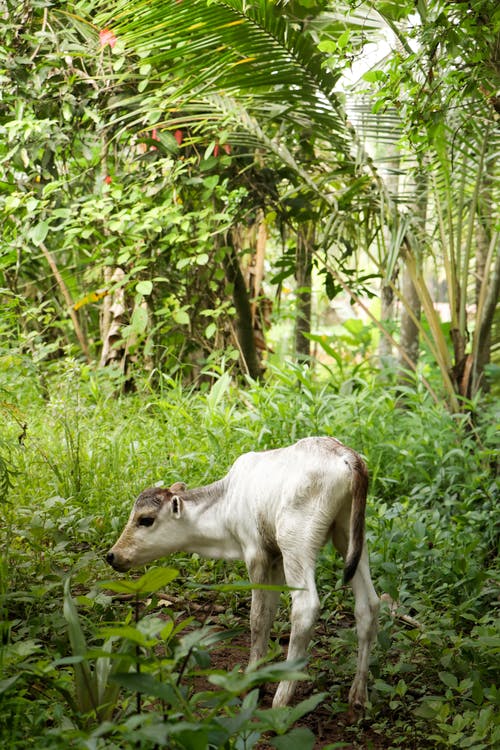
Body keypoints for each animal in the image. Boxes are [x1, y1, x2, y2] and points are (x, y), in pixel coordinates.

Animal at [106, 438, 378, 708]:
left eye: (146, 519)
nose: (112, 555)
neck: (226, 504)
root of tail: (346, 455)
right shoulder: (275, 558)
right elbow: (268, 611)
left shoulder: (256, 553)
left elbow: (257, 617)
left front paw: (252, 680)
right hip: (349, 537)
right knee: (369, 605)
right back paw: (358, 694)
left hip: (296, 543)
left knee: (305, 608)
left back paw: (282, 698)